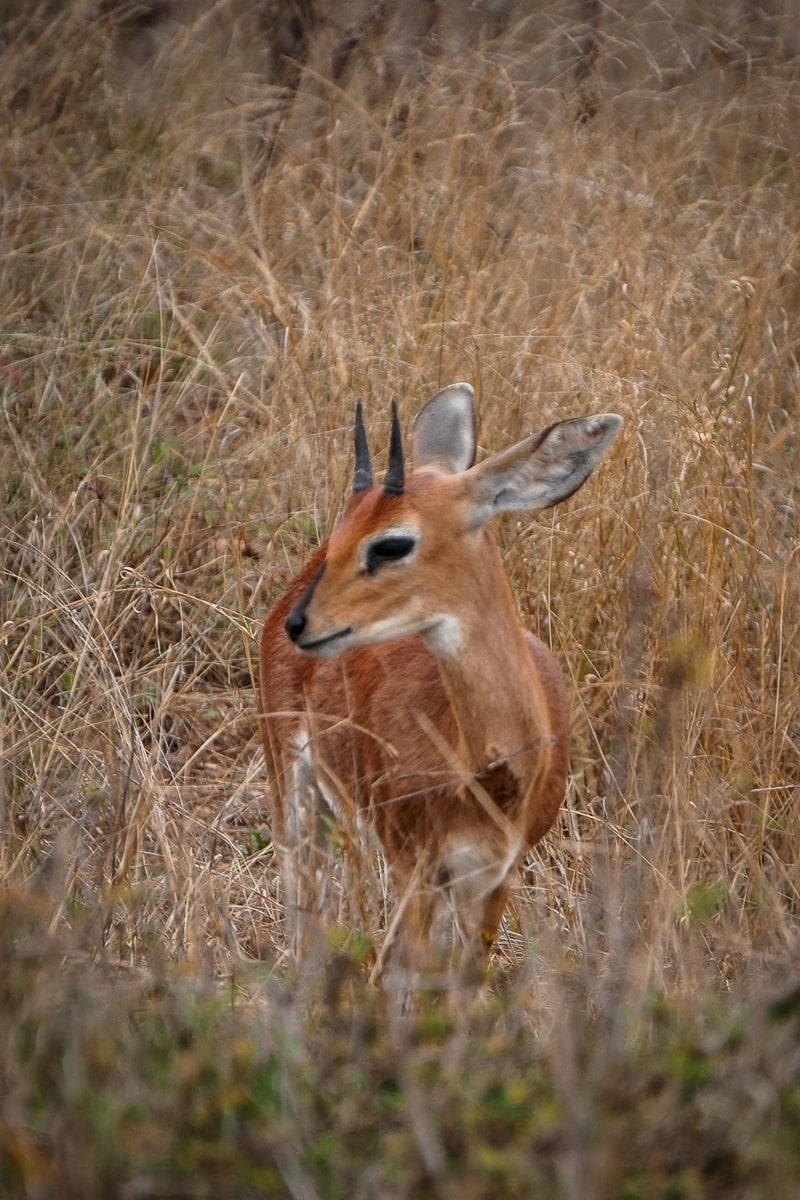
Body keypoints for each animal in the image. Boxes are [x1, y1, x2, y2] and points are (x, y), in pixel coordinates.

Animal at [258, 383, 621, 984]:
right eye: (345, 528)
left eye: (391, 544)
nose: (301, 624)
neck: (491, 767)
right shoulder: (416, 867)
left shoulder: (494, 875)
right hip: (296, 790)